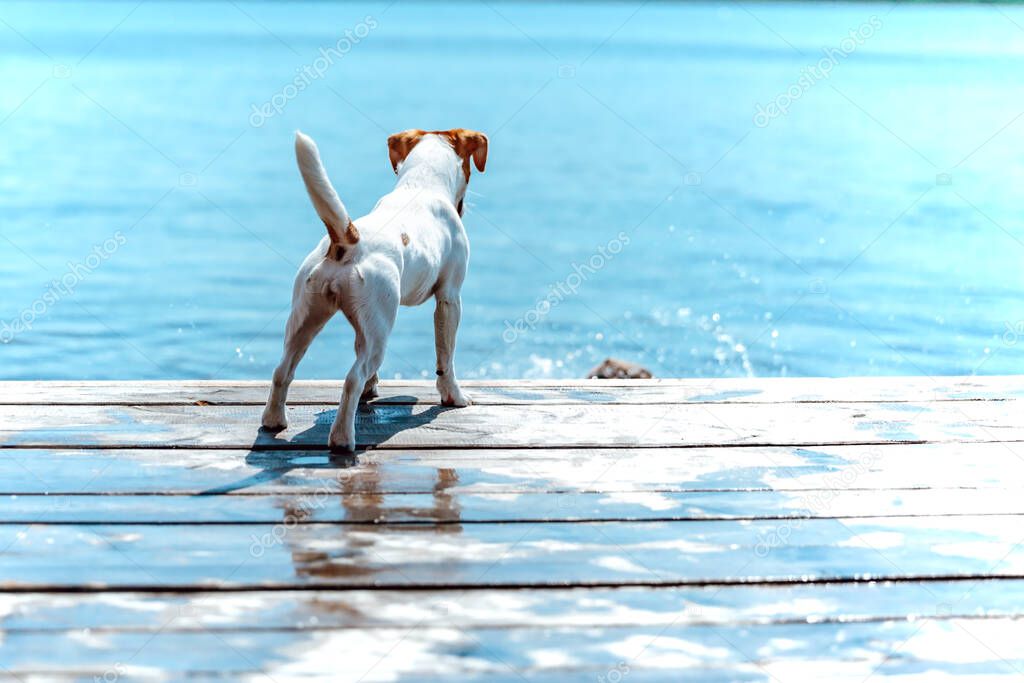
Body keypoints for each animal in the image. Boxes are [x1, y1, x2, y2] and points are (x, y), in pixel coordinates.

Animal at [262, 126, 489, 454]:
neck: (421, 184)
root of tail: (348, 240)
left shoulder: (363, 325)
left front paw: (373, 389)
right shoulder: (449, 298)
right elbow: (445, 357)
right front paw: (453, 396)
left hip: (306, 320)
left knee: (283, 370)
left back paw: (274, 421)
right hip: (379, 332)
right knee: (351, 379)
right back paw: (342, 438)